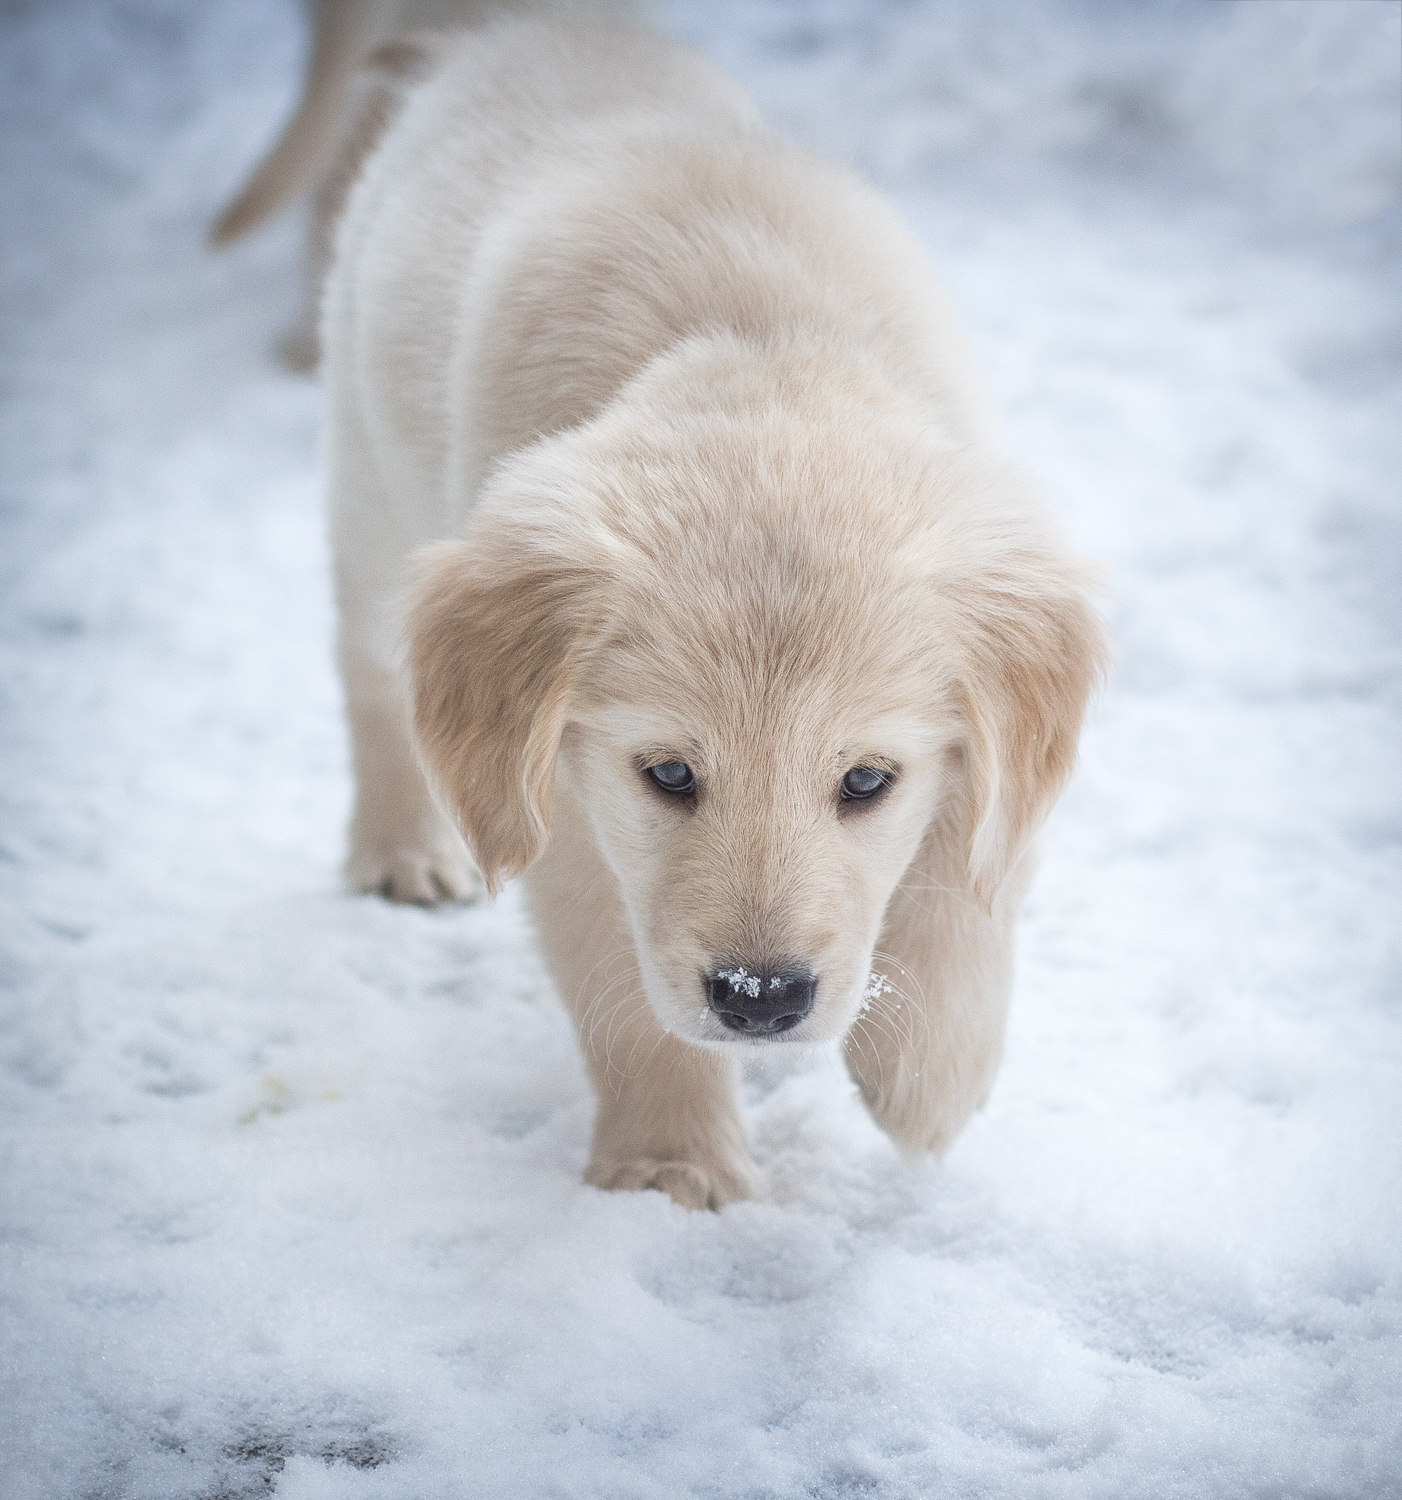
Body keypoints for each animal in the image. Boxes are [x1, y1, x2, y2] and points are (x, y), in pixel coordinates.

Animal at [320, 14, 1109, 1206]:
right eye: (669, 774)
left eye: (867, 781)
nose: (759, 997)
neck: (757, 346)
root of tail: (533, 23)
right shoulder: (567, 804)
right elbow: (623, 986)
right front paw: (667, 1166)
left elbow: (967, 866)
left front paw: (929, 1072)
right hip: (373, 508)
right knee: (373, 679)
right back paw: (401, 847)